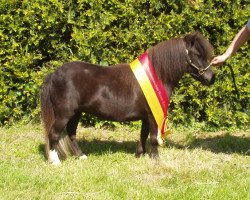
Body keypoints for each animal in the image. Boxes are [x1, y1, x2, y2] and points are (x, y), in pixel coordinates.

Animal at [40, 32, 215, 165]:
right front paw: (155, 159)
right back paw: (55, 162)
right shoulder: (152, 116)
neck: (157, 75)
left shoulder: (146, 116)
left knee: (71, 133)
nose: (211, 78)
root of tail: (54, 74)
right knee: (53, 134)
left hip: (76, 113)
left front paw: (139, 155)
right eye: (197, 54)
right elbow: (153, 138)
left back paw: (82, 156)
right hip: (64, 114)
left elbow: (143, 135)